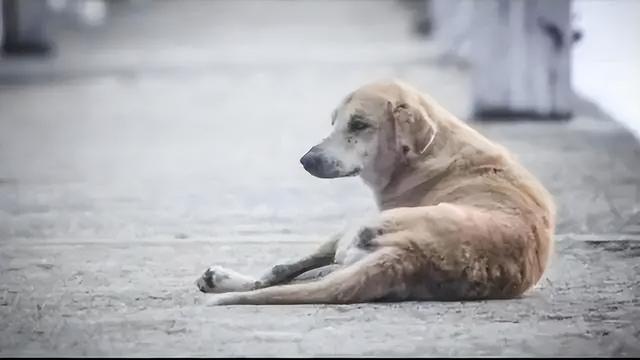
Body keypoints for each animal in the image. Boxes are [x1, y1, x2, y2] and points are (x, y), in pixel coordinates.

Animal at [195, 80, 556, 306]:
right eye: (334, 122)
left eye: (359, 125)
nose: (306, 160)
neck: (427, 151)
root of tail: (410, 255)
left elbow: (284, 268)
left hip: (357, 231)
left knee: (284, 276)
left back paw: (224, 279)